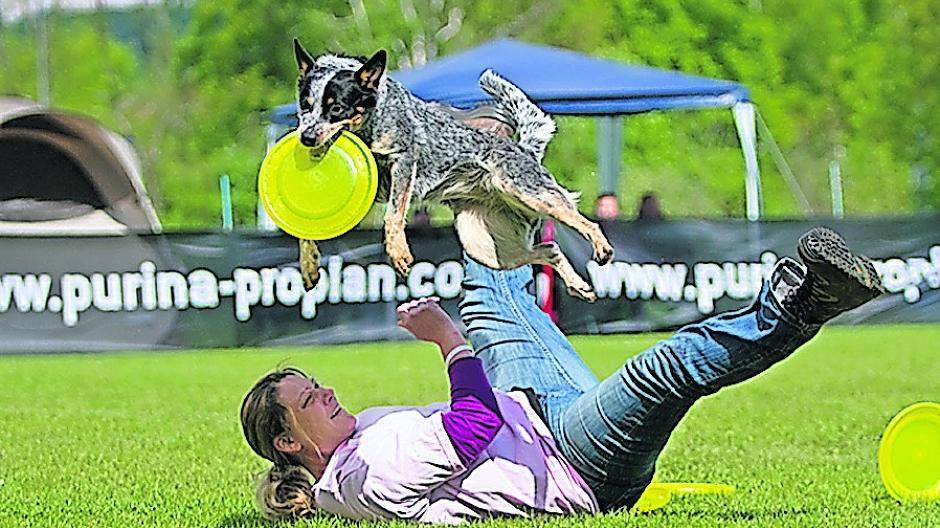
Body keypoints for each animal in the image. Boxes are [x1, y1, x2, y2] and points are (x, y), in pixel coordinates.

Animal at [296, 38, 616, 300]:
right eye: (305, 105)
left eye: (336, 108)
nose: (306, 137)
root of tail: (525, 150)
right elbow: (305, 227)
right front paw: (309, 265)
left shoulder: (404, 160)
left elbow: (393, 216)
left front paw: (398, 252)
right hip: (484, 247)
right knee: (549, 250)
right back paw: (578, 285)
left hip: (528, 191)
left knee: (585, 223)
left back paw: (601, 248)